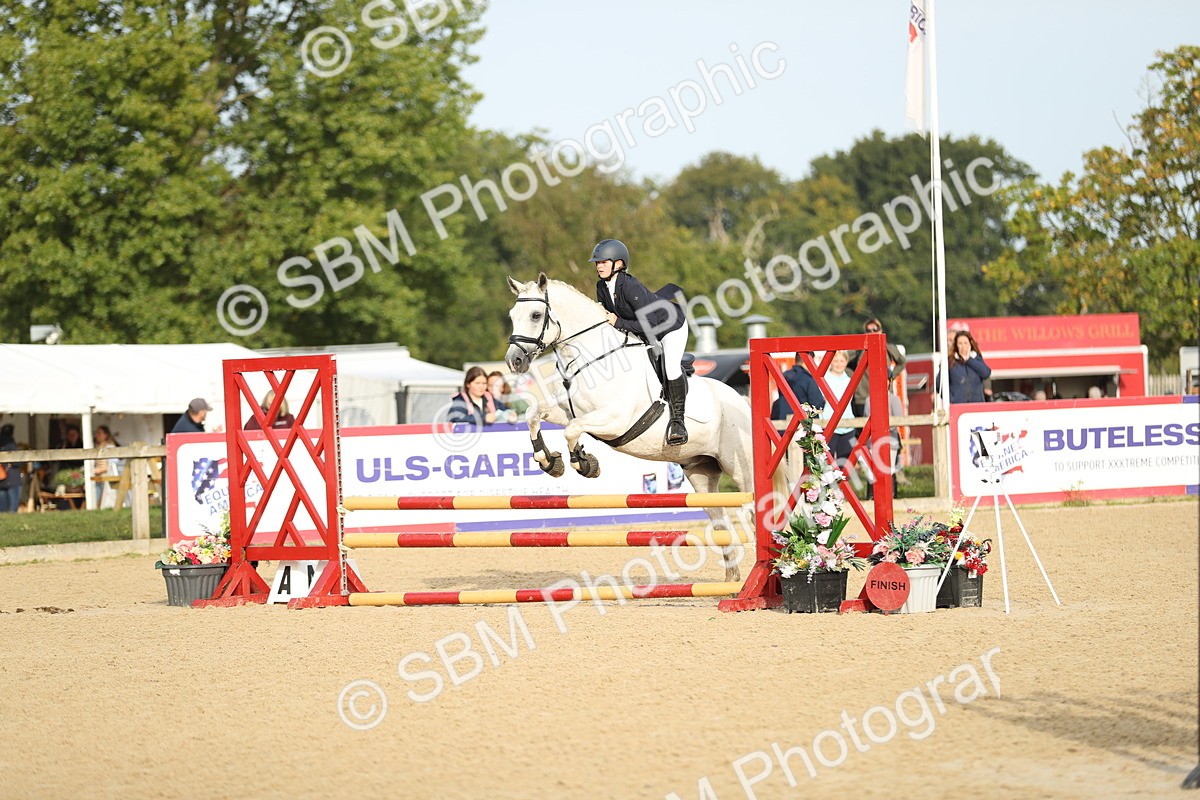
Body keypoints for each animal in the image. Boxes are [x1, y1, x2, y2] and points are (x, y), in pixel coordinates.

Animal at [504, 273, 773, 582]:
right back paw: (732, 580)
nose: (514, 361)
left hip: (741, 469)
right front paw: (550, 461)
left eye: (536, 315)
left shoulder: (615, 419)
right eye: (512, 315)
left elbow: (571, 430)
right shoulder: (569, 411)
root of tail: (743, 402)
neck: (592, 359)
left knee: (757, 510)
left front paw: (585, 463)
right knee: (720, 521)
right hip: (701, 472)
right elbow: (535, 416)